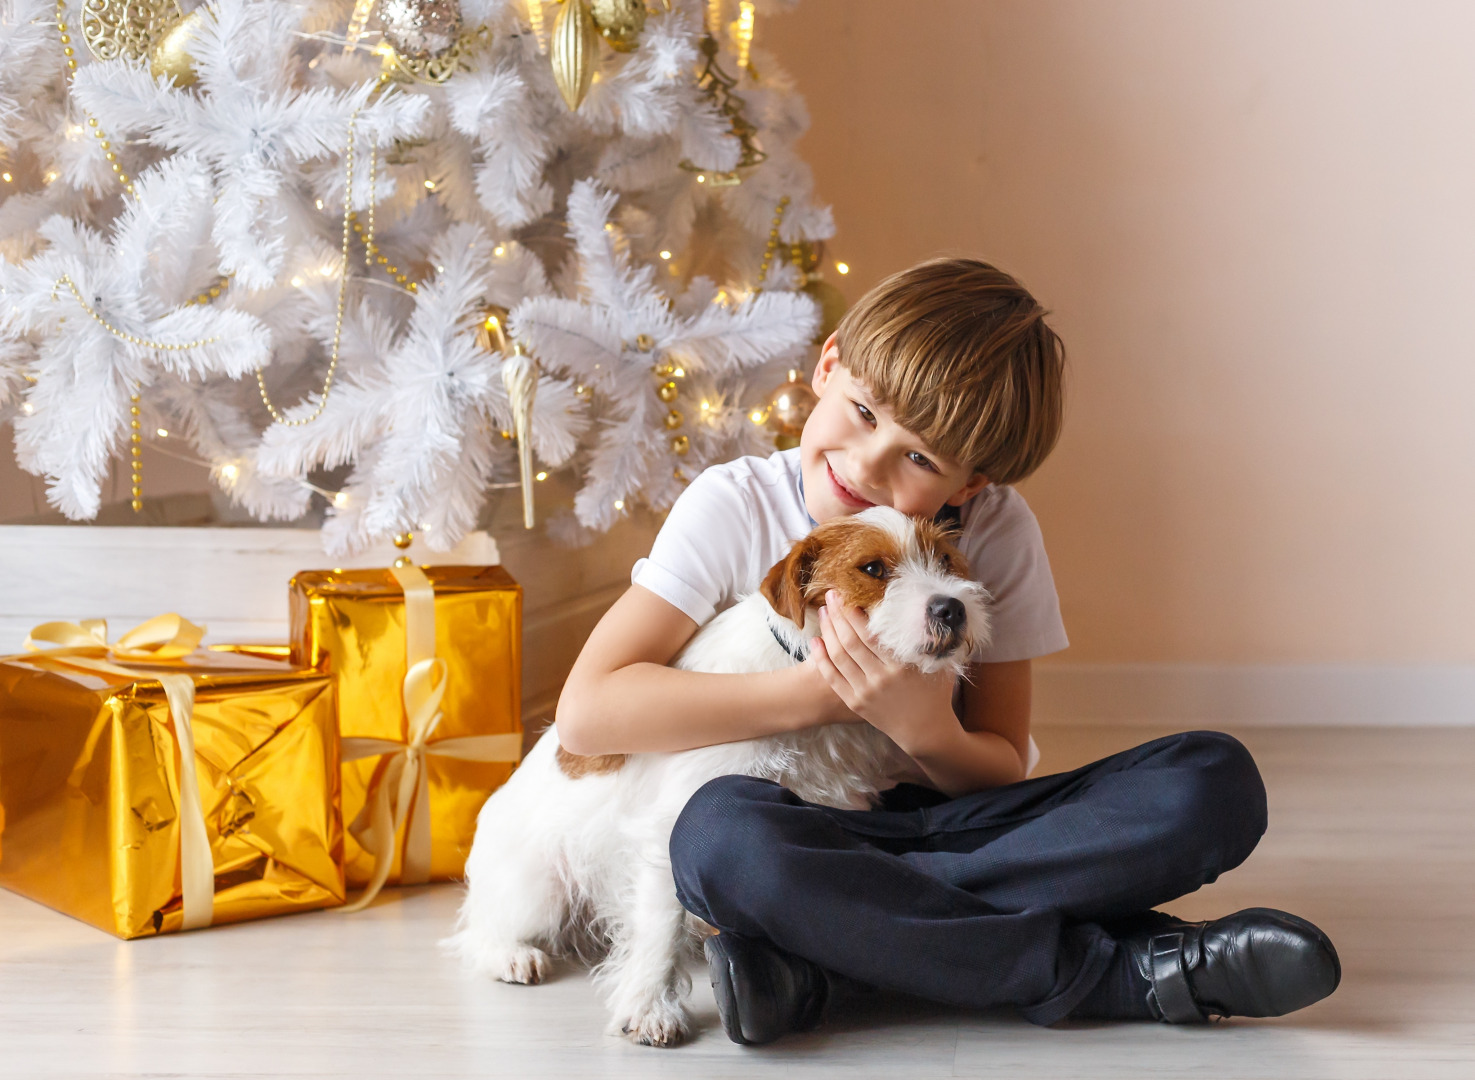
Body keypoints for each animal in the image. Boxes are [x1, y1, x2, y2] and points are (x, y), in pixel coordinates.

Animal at [448, 507, 991, 1044]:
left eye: (945, 560)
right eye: (874, 569)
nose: (951, 609)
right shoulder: (672, 821)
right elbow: (661, 926)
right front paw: (650, 1008)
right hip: (538, 890)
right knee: (476, 931)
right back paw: (512, 955)